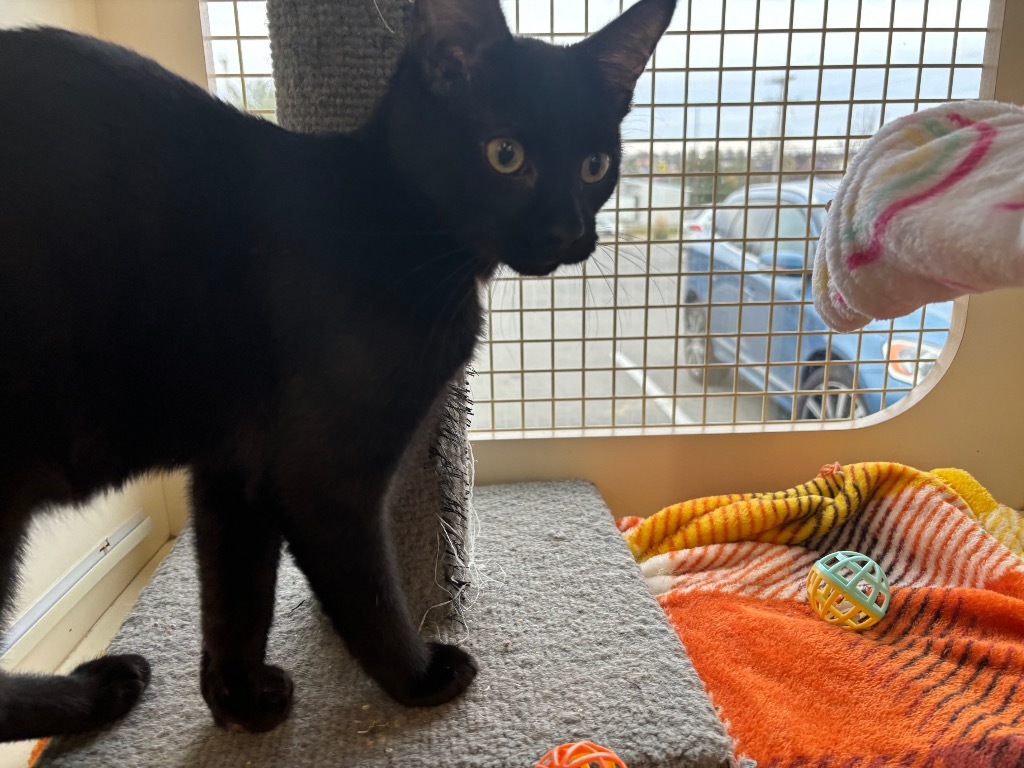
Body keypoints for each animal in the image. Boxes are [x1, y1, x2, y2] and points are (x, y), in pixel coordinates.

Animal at [0, 0, 675, 745]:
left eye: (594, 165)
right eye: (505, 154)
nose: (567, 230)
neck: (398, 227)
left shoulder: (234, 468)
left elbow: (237, 594)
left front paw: (237, 703)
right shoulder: (320, 479)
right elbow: (370, 593)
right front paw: (418, 680)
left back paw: (102, 690)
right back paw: (92, 694)